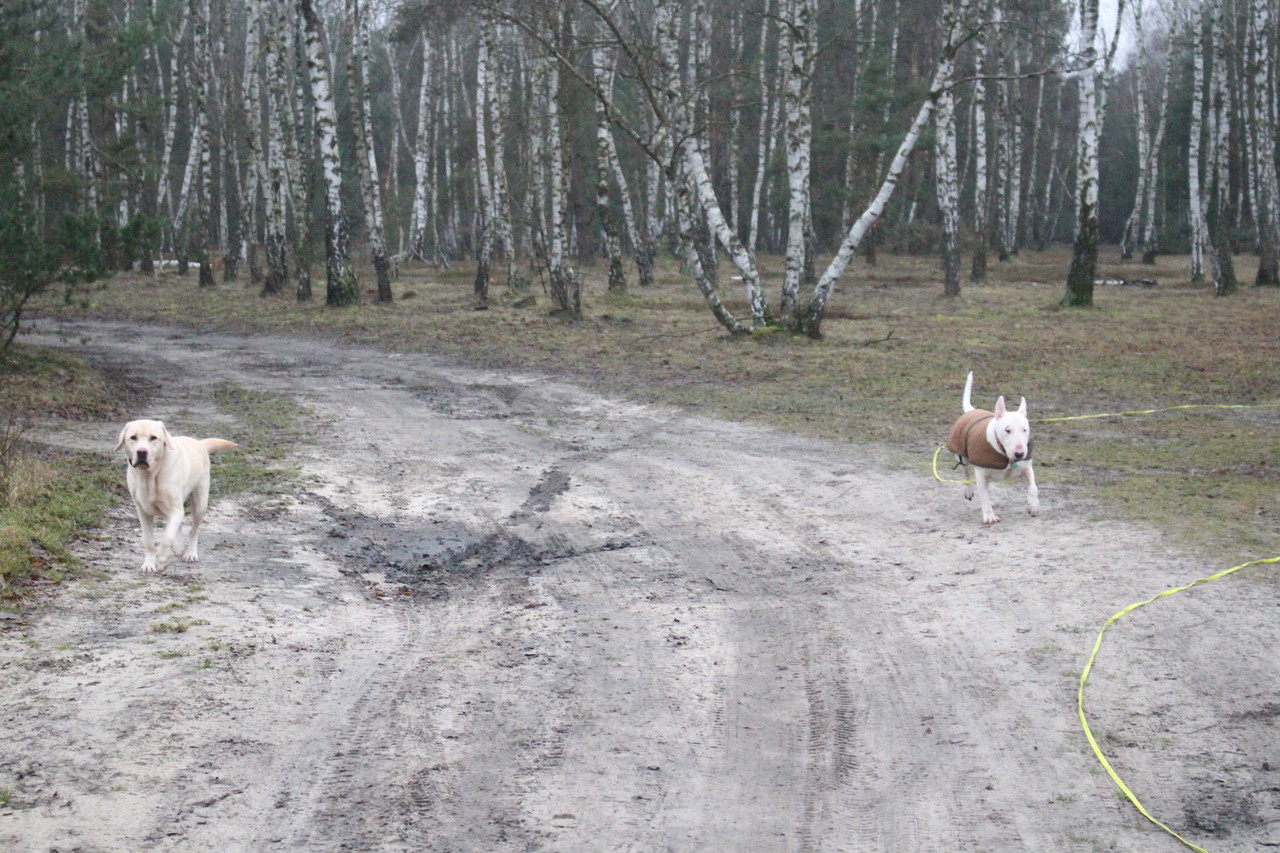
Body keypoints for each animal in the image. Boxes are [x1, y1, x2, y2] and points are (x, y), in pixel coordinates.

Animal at [115, 419, 237, 572]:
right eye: (133, 437)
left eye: (153, 438)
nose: (142, 451)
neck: (150, 476)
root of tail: (200, 443)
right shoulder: (143, 511)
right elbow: (148, 540)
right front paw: (149, 564)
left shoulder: (175, 509)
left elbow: (166, 537)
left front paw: (161, 559)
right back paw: (179, 547)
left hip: (200, 503)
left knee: (194, 530)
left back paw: (190, 553)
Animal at [946, 372, 1039, 524]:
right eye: (1007, 430)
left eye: (1025, 429)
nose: (1019, 454)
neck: (1004, 453)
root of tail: (972, 410)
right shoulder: (981, 474)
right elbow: (983, 495)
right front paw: (989, 517)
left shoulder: (1026, 468)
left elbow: (1033, 487)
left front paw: (1033, 506)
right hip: (961, 454)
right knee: (965, 470)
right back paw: (968, 490)